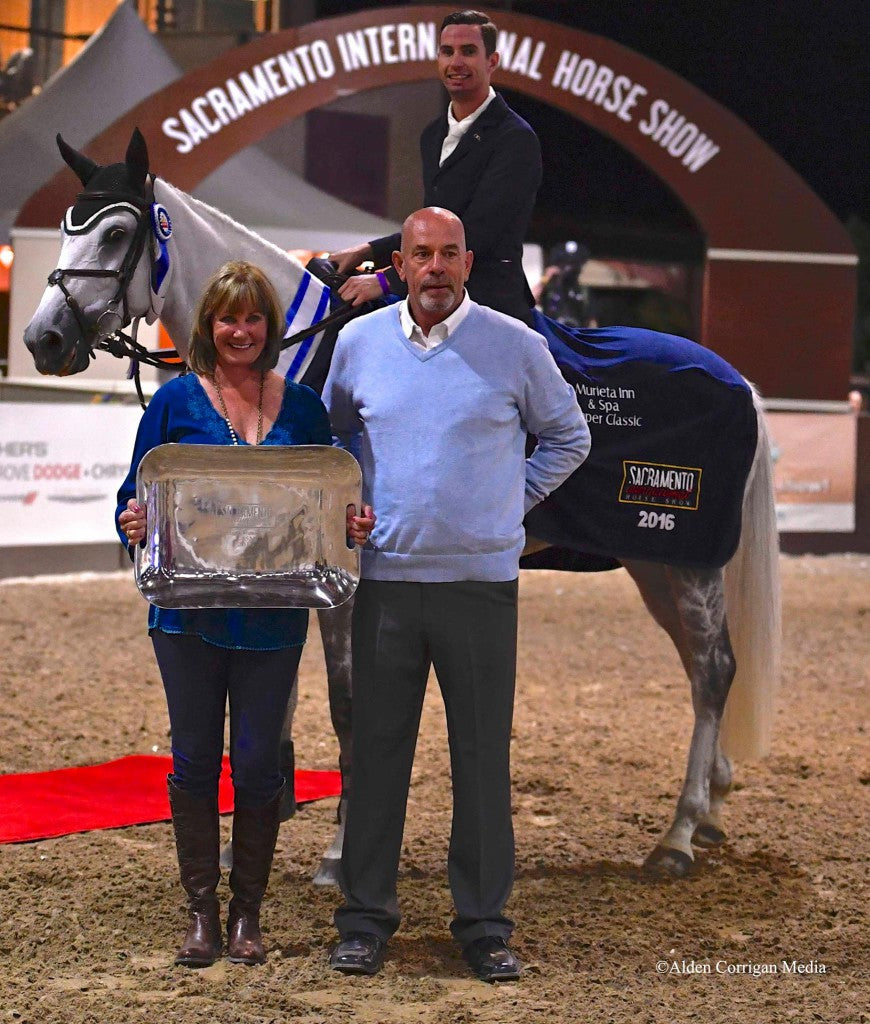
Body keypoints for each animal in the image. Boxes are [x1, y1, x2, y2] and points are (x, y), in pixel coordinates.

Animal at [25, 128, 777, 880]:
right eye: (65, 227)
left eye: (117, 231)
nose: (43, 338)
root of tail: (739, 381)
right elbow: (275, 695)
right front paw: (251, 843)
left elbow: (346, 703)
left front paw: (337, 852)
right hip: (655, 564)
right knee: (702, 668)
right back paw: (711, 810)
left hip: (690, 563)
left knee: (714, 671)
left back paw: (678, 836)